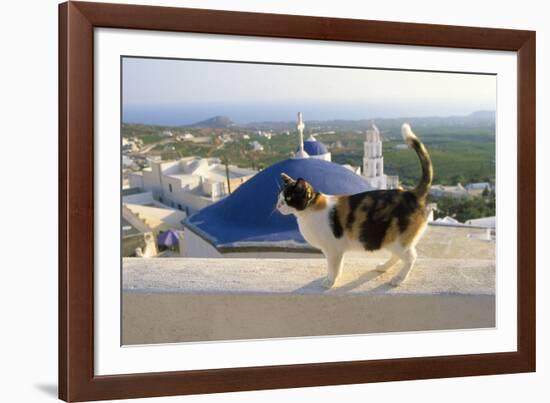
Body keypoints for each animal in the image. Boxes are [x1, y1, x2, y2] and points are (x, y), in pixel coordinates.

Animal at [278, 124, 434, 288]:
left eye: (288, 198)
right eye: (279, 197)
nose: (279, 205)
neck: (308, 212)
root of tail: (410, 193)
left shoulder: (333, 249)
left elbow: (333, 267)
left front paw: (330, 281)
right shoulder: (336, 250)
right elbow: (337, 266)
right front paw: (335, 277)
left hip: (399, 239)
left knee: (411, 258)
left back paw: (398, 279)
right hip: (393, 241)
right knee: (398, 256)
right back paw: (383, 267)